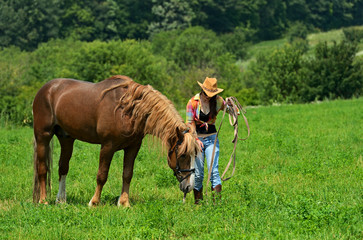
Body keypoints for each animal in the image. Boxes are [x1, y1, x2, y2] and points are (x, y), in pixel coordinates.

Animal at [32, 74, 200, 206]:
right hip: (43, 137)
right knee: (42, 169)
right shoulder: (108, 146)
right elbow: (102, 175)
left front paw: (124, 203)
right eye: (182, 155)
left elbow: (127, 174)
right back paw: (43, 200)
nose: (189, 186)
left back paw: (61, 200)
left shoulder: (133, 147)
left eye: (195, 155)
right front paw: (94, 202)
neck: (128, 110)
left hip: (66, 138)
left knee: (63, 168)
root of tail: (46, 89)